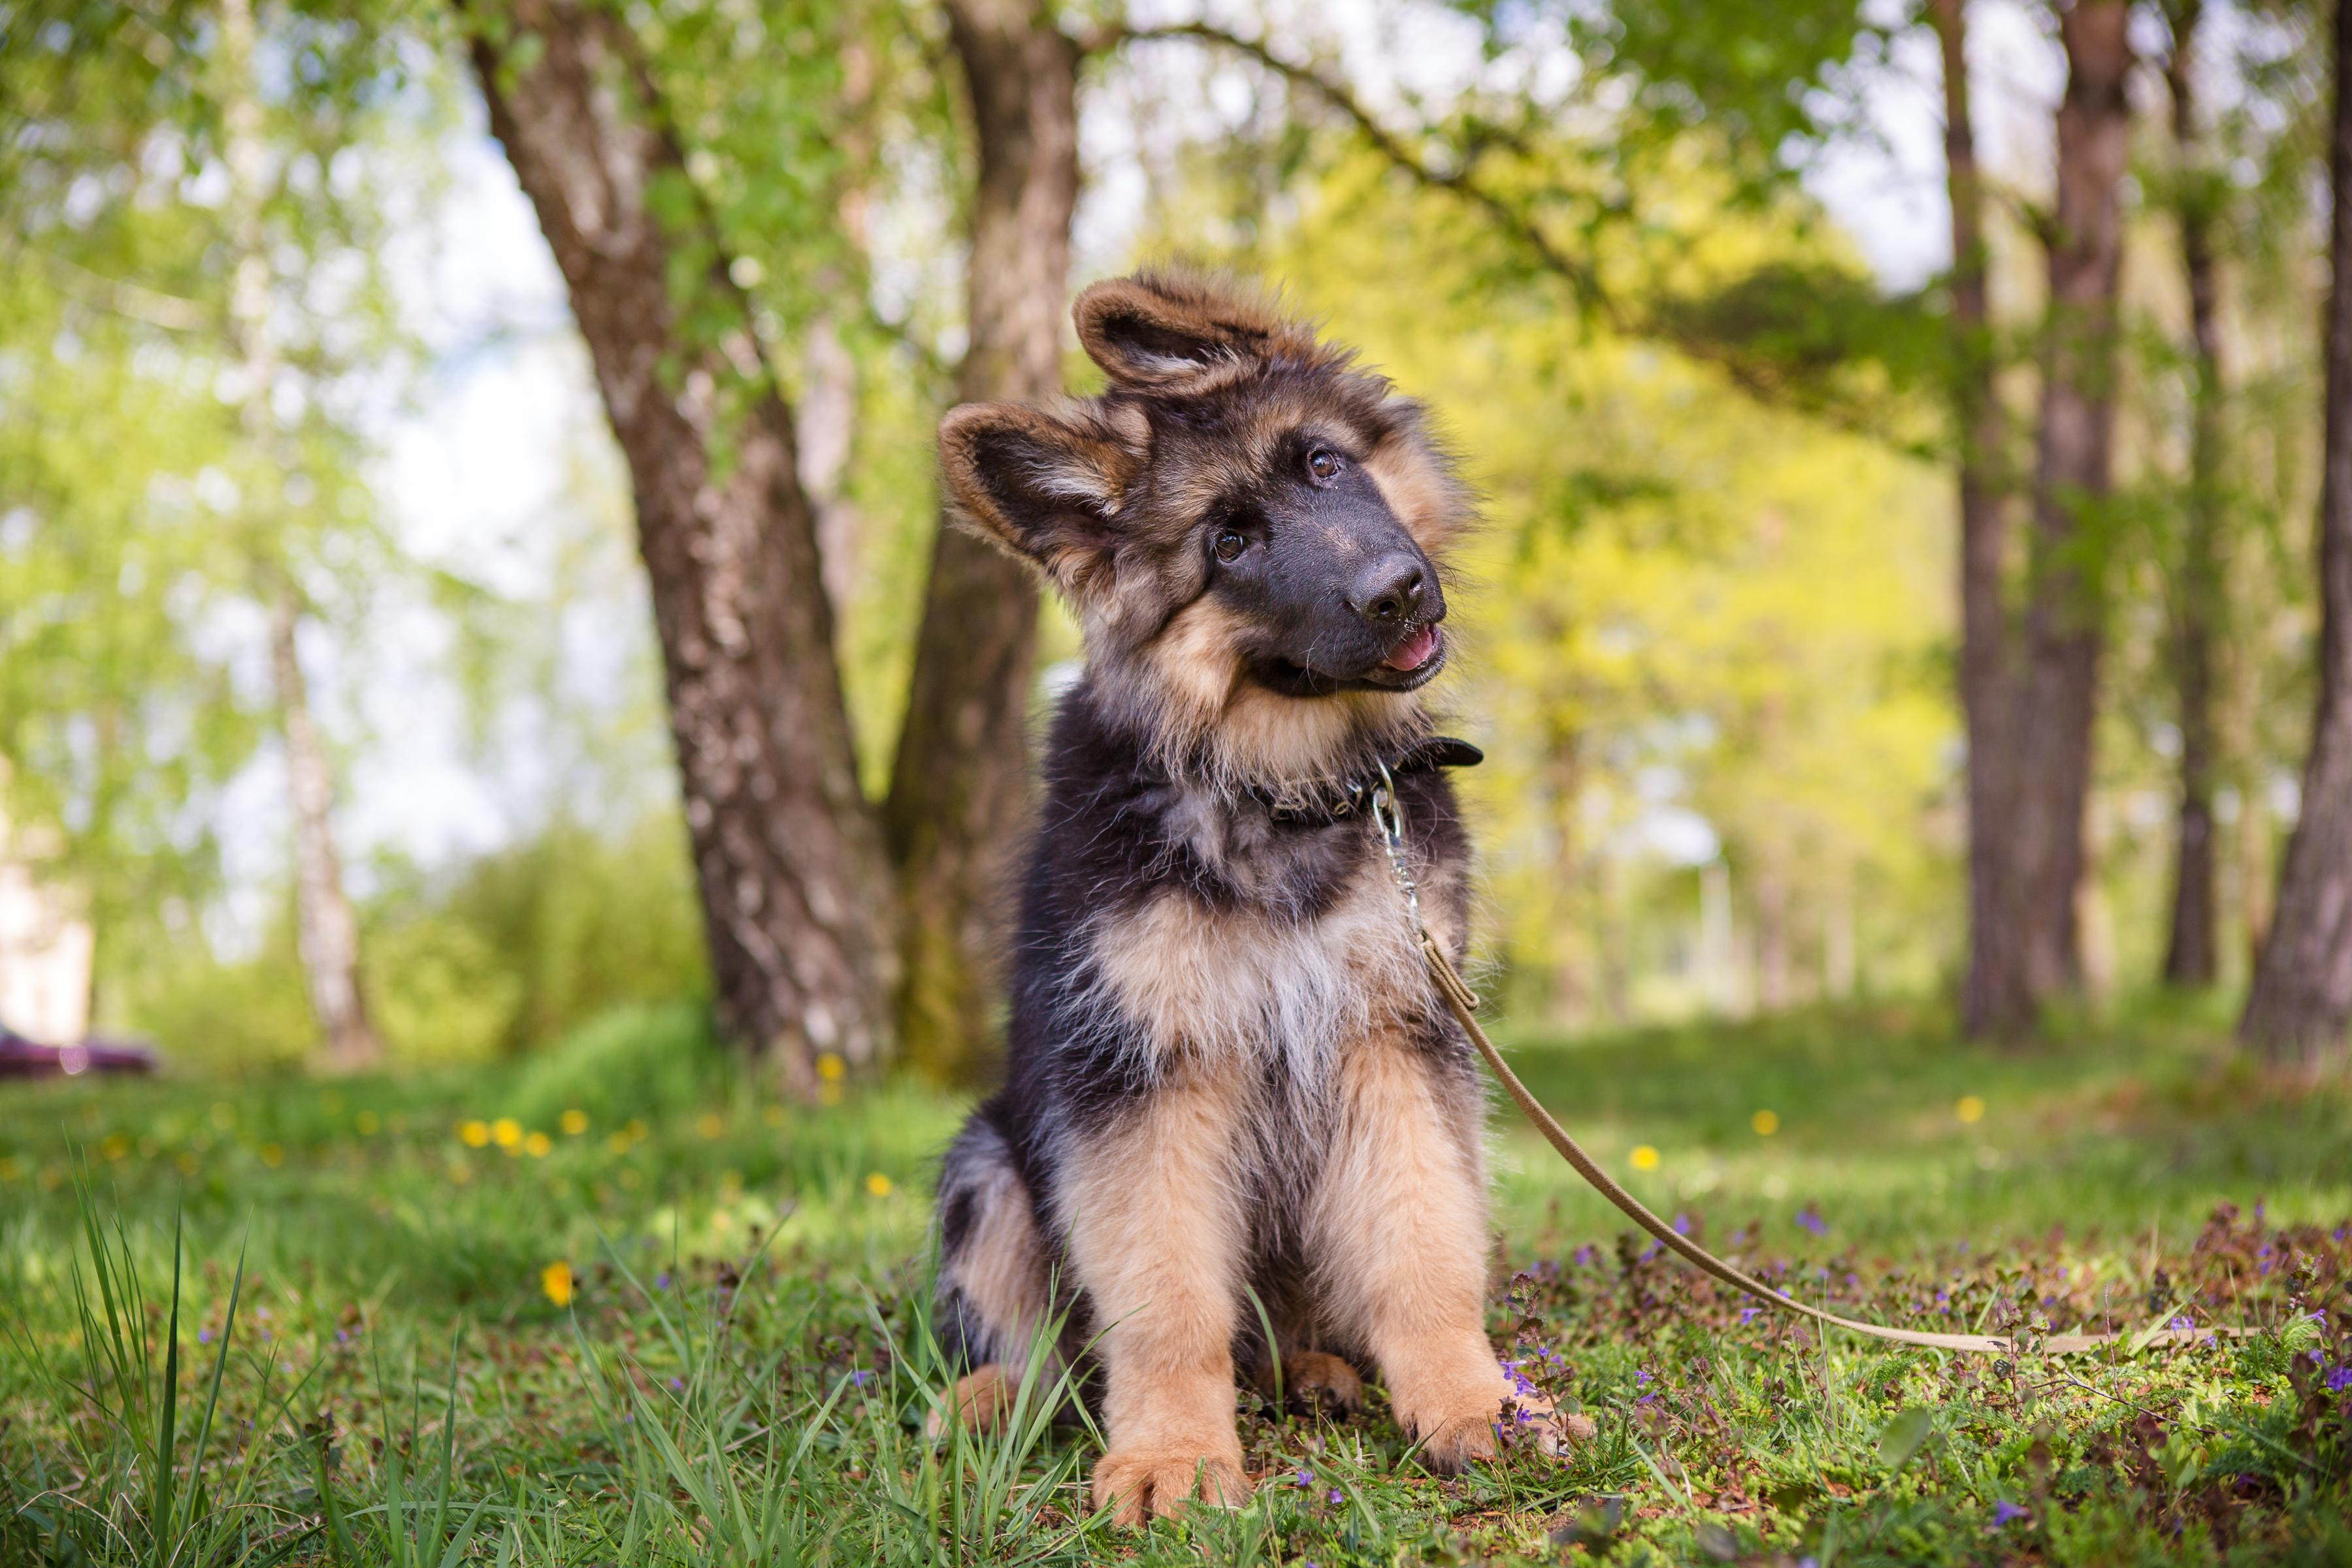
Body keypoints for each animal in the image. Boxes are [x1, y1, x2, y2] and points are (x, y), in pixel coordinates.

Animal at [926, 267, 1571, 1523]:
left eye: (1322, 464)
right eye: (1228, 543)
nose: (1397, 591)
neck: (1283, 792)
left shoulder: (1391, 1036)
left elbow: (1424, 1243)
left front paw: (1471, 1402)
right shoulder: (1144, 1073)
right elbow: (1166, 1295)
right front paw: (1174, 1454)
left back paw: (1318, 1370)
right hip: (990, 1166)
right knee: (1046, 1351)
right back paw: (989, 1402)